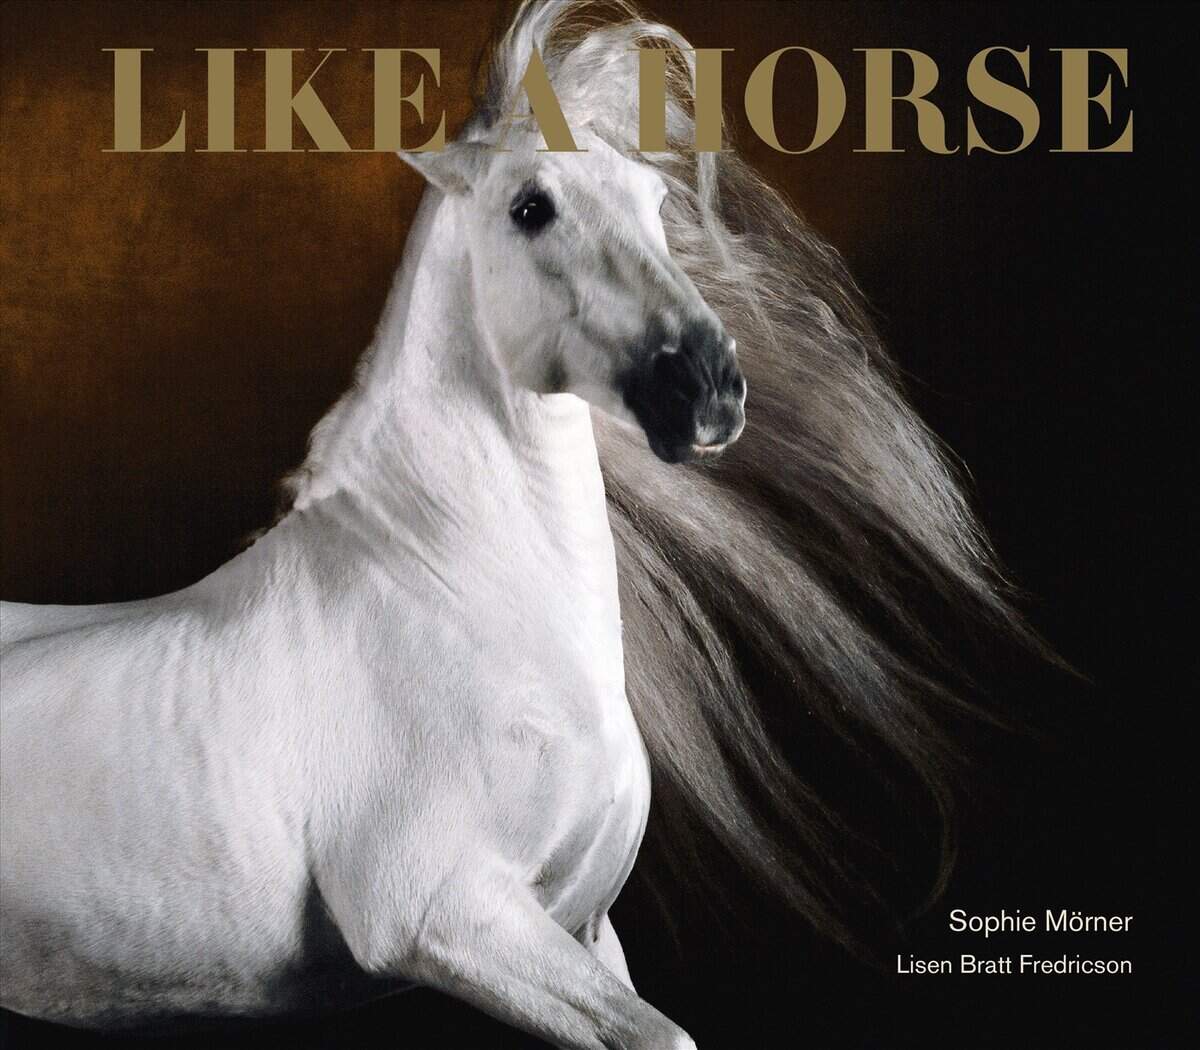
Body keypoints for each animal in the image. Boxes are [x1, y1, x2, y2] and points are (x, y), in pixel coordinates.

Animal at [0, 2, 1036, 1046]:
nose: (706, 386)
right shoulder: (444, 914)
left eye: (655, 202)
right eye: (530, 207)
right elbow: (664, 1032)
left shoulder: (581, 928)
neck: (458, 596)